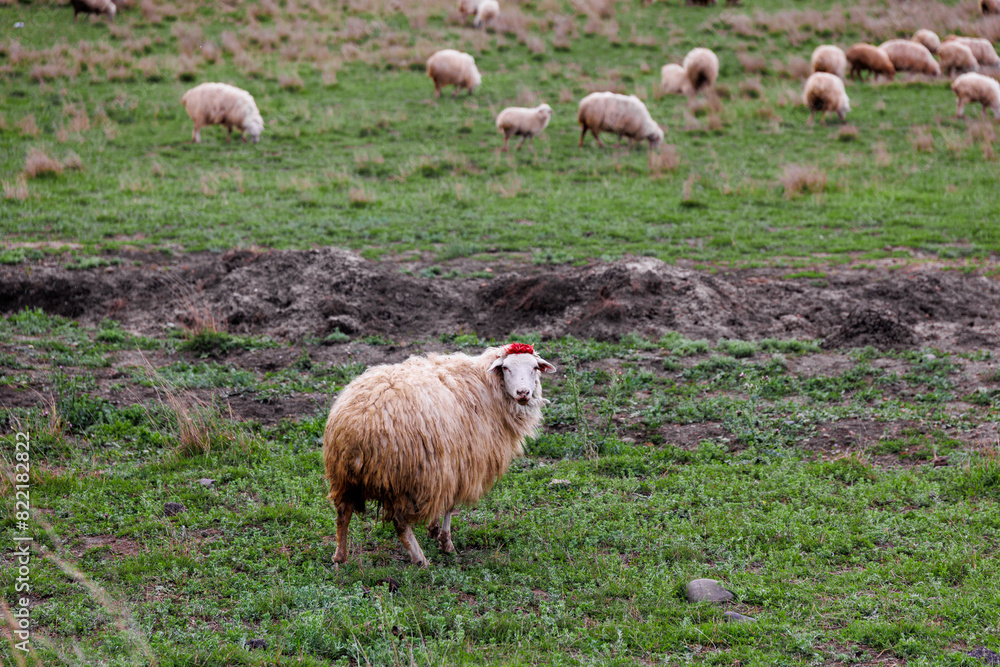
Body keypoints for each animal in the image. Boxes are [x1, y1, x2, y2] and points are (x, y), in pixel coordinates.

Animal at [323, 343, 556, 567]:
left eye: (534, 368)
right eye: (506, 368)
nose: (523, 393)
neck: (486, 385)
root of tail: (359, 426)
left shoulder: (444, 468)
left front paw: (433, 530)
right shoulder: (461, 465)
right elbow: (450, 506)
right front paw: (445, 541)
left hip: (344, 477)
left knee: (343, 514)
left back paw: (340, 556)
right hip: (403, 478)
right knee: (400, 522)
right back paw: (420, 559)